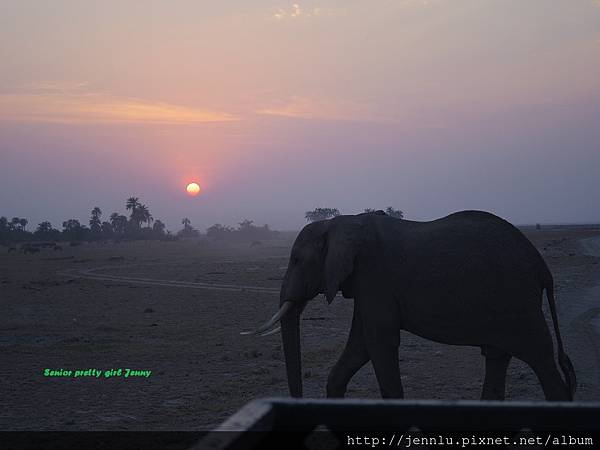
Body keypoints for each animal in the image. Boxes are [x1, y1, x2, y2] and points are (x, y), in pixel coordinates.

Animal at [245, 210, 576, 400]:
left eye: (297, 260)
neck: (339, 223)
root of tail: (542, 268)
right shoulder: (365, 284)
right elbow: (361, 346)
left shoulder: (373, 275)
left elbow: (379, 343)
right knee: (497, 356)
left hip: (519, 304)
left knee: (541, 360)